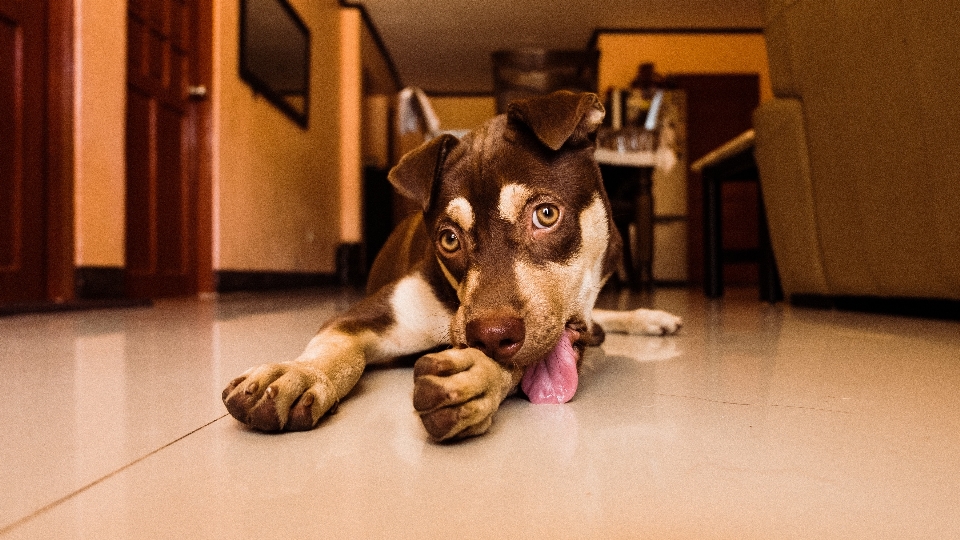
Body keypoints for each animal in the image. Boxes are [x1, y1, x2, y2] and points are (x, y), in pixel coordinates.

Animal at [220, 89, 680, 442]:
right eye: (449, 239)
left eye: (546, 214)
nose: (490, 335)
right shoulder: (364, 315)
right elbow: (335, 348)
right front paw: (297, 374)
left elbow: (522, 357)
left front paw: (475, 378)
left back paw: (648, 317)